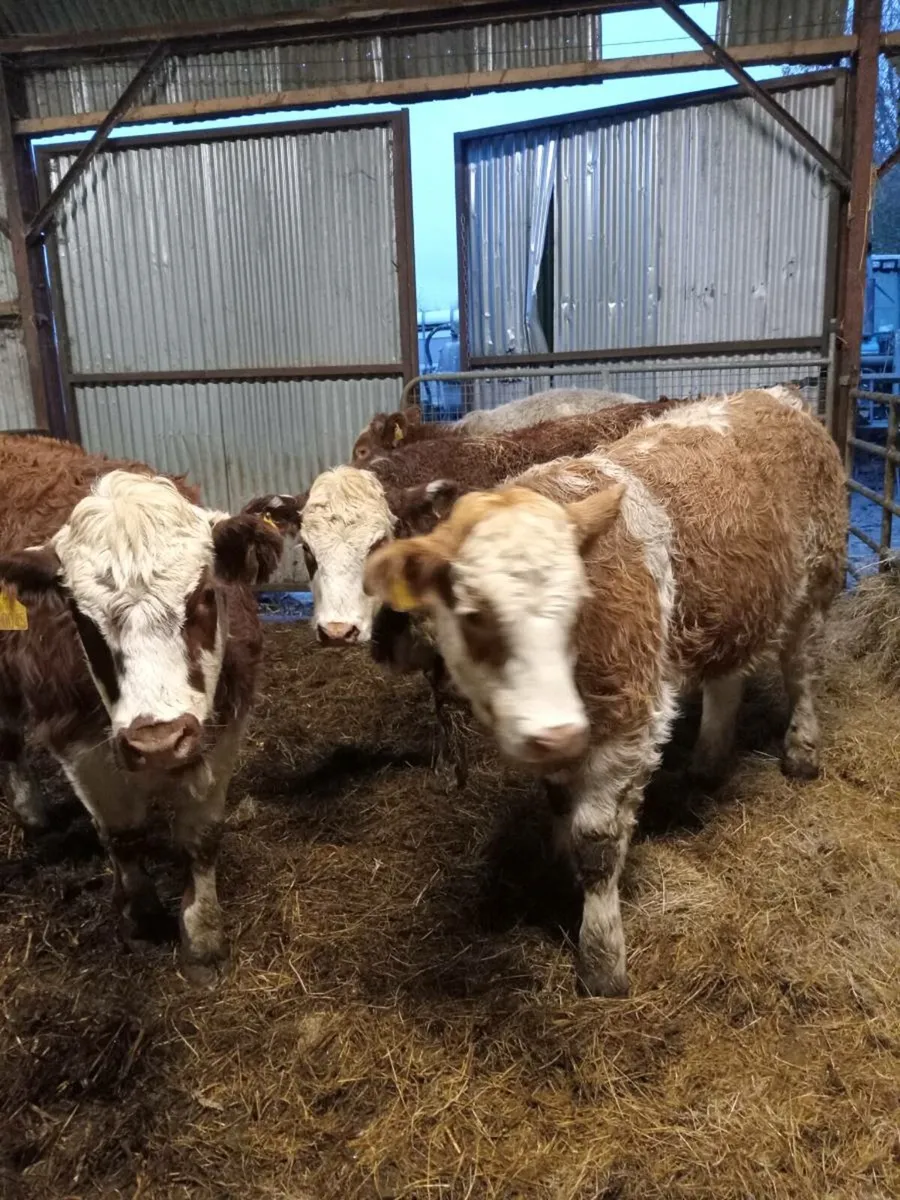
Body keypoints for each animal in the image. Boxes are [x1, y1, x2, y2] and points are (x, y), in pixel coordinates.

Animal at [0, 435, 283, 984]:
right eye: (79, 615)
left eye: (204, 595)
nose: (158, 742)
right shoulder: (79, 746)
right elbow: (122, 835)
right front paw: (142, 916)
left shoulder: (222, 731)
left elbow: (201, 837)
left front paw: (203, 934)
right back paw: (31, 811)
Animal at [363, 389, 847, 997]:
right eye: (473, 615)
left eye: (580, 598)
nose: (553, 731)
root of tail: (775, 395)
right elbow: (558, 805)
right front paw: (557, 876)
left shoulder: (628, 716)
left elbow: (596, 841)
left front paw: (600, 960)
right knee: (726, 679)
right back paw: (708, 763)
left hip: (818, 582)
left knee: (801, 669)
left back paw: (802, 751)